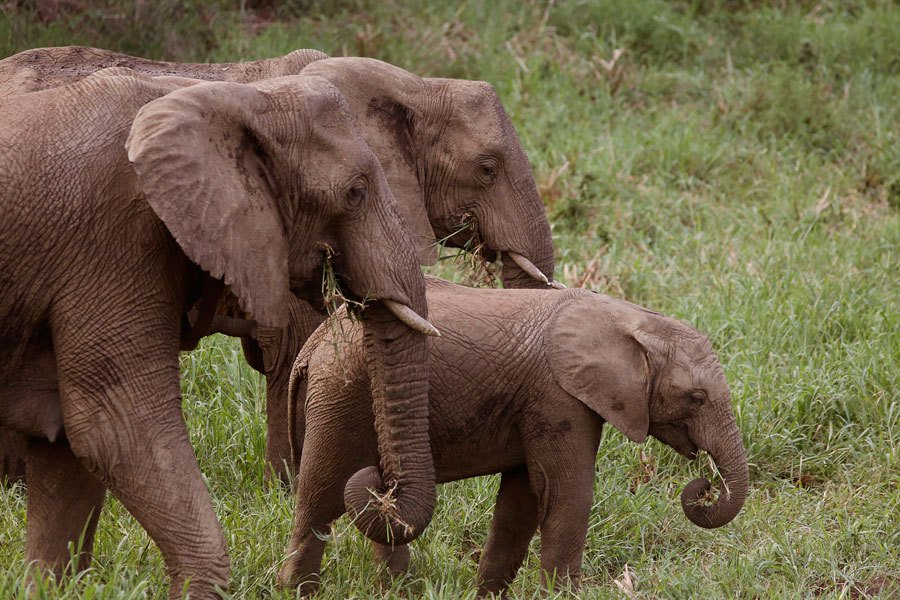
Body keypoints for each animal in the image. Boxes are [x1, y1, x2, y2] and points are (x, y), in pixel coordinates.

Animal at [0, 68, 436, 598]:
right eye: (354, 193)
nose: (379, 481)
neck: (229, 96)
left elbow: (64, 440)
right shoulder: (112, 242)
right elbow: (113, 427)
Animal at [280, 277, 749, 596]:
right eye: (696, 398)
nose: (704, 486)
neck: (631, 318)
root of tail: (316, 342)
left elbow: (521, 500)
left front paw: (487, 594)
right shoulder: (558, 396)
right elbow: (566, 492)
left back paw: (400, 592)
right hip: (341, 394)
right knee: (320, 496)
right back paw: (297, 591)